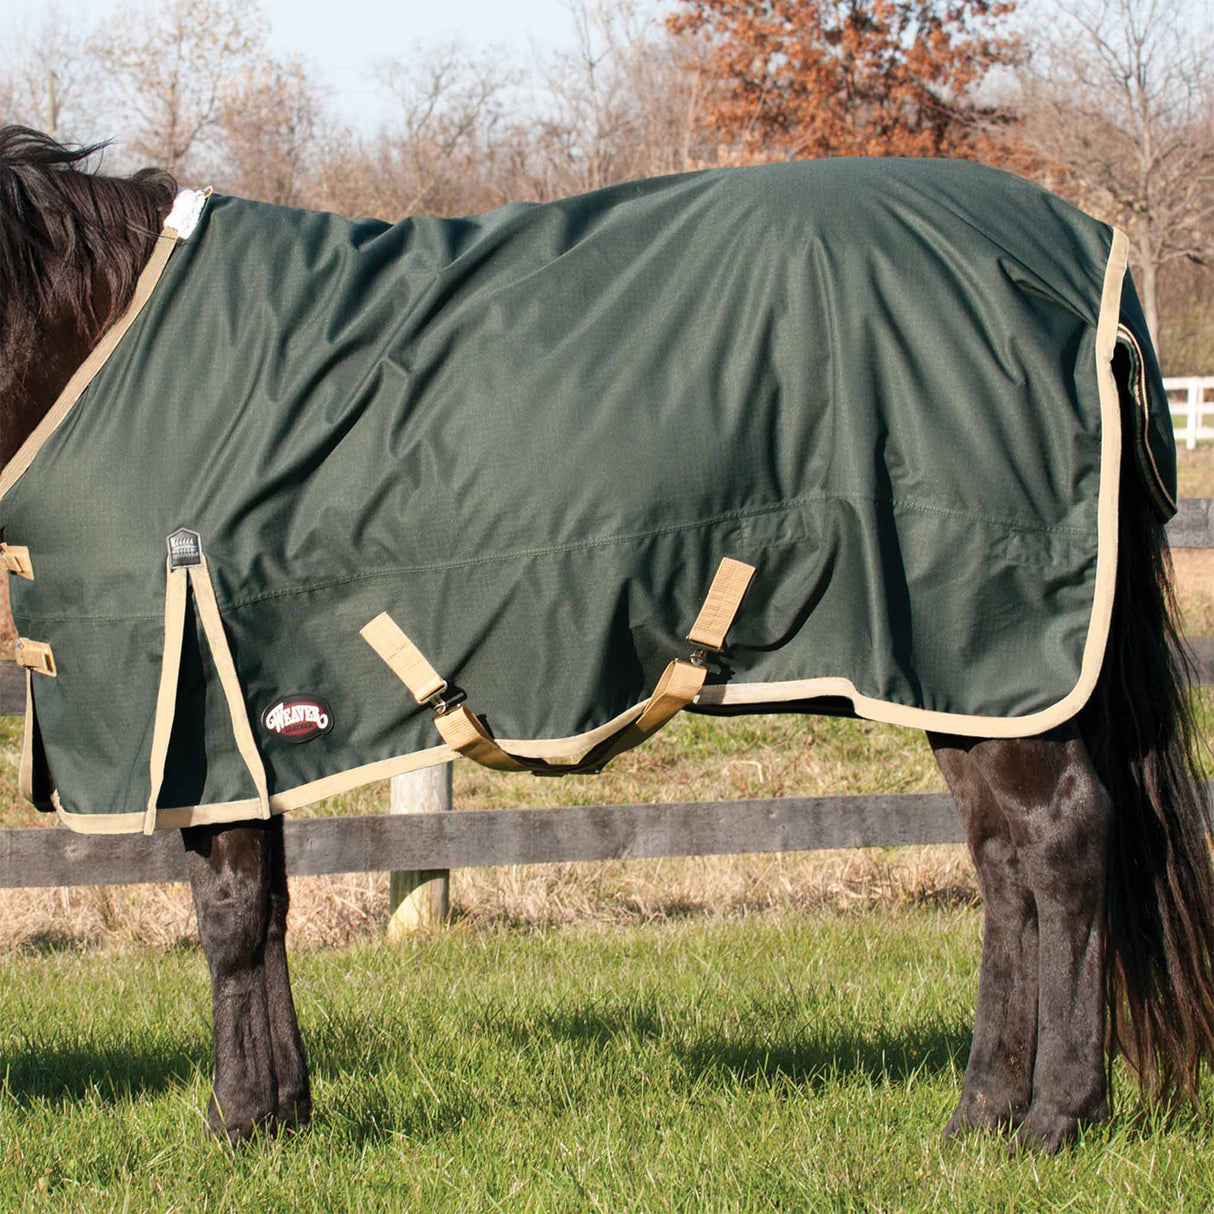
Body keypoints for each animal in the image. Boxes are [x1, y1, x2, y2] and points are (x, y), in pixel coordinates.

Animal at [2, 125, 1213, 1154]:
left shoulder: (195, 693)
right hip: (955, 681)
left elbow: (230, 918)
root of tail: (1086, 269)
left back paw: (1052, 1118)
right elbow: (268, 912)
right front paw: (278, 1112)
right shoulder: (244, 710)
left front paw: (241, 1121)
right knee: (1003, 866)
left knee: (1059, 845)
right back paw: (980, 1118)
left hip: (992, 663)